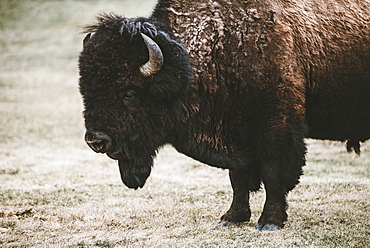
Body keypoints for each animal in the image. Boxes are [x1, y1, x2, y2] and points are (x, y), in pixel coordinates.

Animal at [79, 0, 370, 231]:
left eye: (129, 93)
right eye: (85, 90)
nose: (95, 140)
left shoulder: (277, 127)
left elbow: (273, 173)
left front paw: (270, 222)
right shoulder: (232, 133)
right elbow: (237, 179)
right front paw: (231, 217)